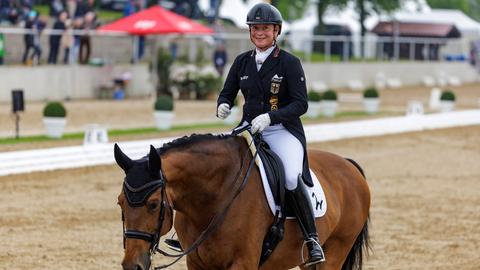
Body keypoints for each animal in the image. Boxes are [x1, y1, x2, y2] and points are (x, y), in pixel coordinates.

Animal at [116, 133, 372, 270]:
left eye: (153, 204)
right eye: (120, 203)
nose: (132, 265)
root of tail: (348, 165)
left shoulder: (242, 263)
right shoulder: (197, 263)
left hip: (336, 248)